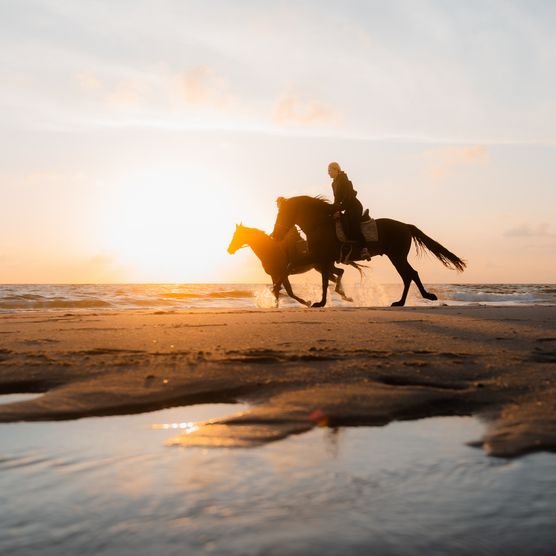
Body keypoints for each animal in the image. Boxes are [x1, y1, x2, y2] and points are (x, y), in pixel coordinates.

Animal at [226, 223, 360, 306]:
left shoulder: (283, 274)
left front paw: (307, 303)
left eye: (237, 235)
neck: (269, 250)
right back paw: (344, 296)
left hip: (324, 266)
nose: (229, 250)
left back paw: (342, 294)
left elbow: (287, 291)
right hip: (321, 267)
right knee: (337, 275)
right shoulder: (274, 275)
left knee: (339, 273)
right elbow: (278, 291)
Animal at [272, 195, 466, 308]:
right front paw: (275, 290)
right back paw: (403, 301)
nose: (276, 235)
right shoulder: (318, 258)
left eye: (283, 214)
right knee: (408, 275)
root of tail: (405, 225)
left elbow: (323, 281)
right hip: (396, 256)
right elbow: (290, 268)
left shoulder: (321, 258)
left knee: (411, 274)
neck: (320, 224)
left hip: (397, 256)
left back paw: (421, 297)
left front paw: (320, 302)